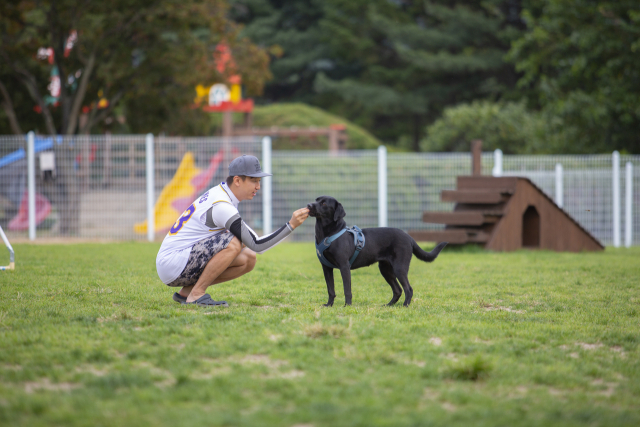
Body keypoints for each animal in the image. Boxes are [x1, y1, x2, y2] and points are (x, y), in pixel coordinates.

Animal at [308, 196, 448, 310]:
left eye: (324, 203)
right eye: (316, 200)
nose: (309, 205)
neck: (328, 233)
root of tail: (409, 237)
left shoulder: (344, 266)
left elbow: (347, 289)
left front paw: (347, 306)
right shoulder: (326, 268)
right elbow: (330, 289)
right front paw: (328, 305)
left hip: (399, 268)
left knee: (408, 289)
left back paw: (405, 306)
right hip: (385, 269)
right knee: (398, 290)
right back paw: (389, 305)